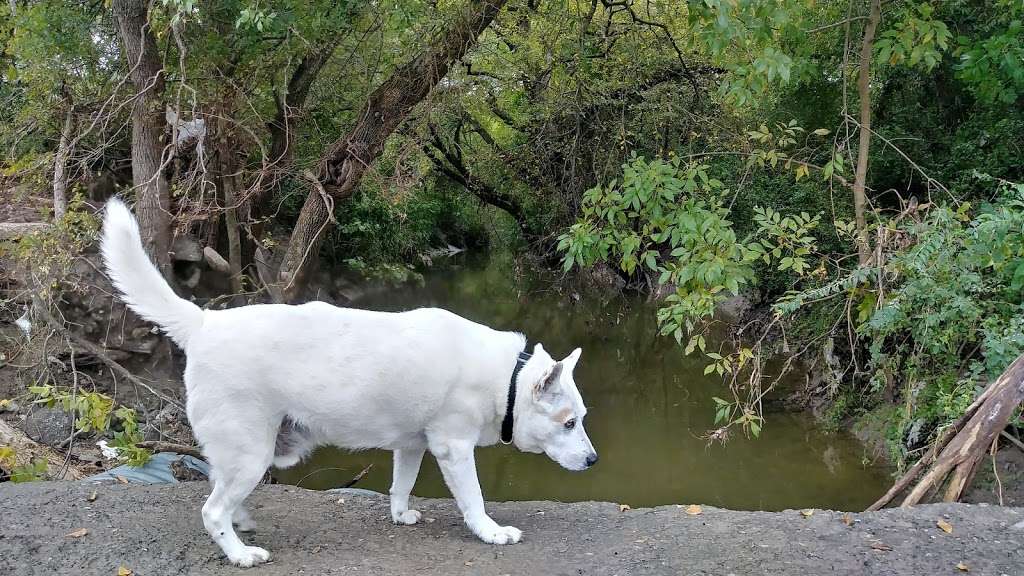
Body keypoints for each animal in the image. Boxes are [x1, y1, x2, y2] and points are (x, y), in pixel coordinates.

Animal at [99, 199, 598, 565]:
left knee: (219, 491)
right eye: (569, 423)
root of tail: (204, 323)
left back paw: (242, 525)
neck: (506, 377)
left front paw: (401, 515)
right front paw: (491, 533)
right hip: (251, 453)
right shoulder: (454, 450)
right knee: (210, 510)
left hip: (244, 451)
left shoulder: (412, 446)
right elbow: (473, 500)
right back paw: (241, 554)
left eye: (581, 418)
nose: (594, 460)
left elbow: (400, 484)